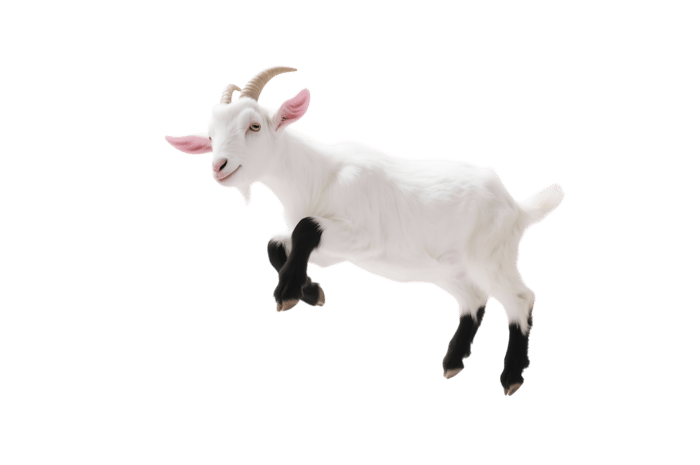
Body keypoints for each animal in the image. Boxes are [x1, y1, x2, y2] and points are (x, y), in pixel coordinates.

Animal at [164, 65, 565, 397]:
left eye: (254, 126)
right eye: (210, 137)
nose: (219, 167)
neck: (317, 177)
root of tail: (516, 207)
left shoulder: (366, 237)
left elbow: (306, 229)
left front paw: (289, 293)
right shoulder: (328, 250)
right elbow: (275, 244)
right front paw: (310, 290)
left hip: (492, 255)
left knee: (520, 299)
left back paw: (511, 377)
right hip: (450, 269)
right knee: (474, 300)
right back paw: (454, 362)